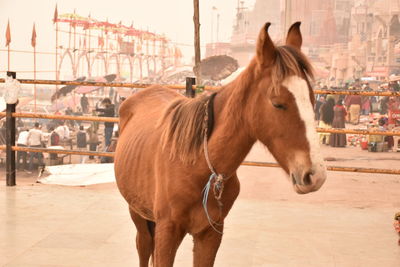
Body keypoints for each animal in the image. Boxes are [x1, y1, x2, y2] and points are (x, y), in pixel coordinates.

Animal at [114, 22, 326, 266]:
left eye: (312, 99)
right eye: (278, 103)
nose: (315, 175)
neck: (197, 165)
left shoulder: (210, 233)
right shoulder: (168, 232)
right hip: (138, 213)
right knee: (144, 245)